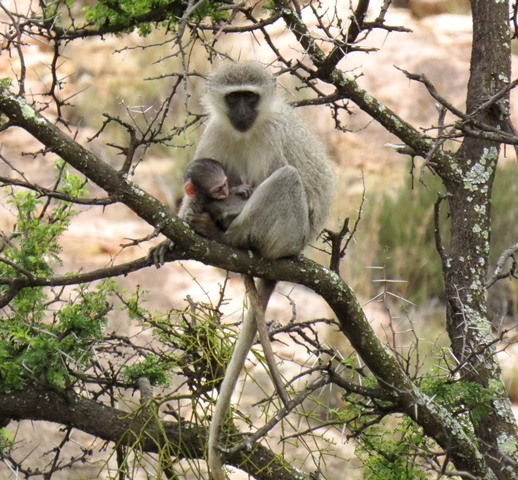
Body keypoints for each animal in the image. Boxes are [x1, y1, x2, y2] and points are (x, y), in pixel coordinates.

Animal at [156, 62, 334, 478]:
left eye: (249, 98)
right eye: (233, 98)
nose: (240, 112)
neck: (247, 130)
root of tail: (296, 249)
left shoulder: (270, 136)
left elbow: (265, 180)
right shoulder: (215, 133)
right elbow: (198, 185)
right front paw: (176, 232)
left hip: (289, 234)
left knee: (285, 178)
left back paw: (230, 238)